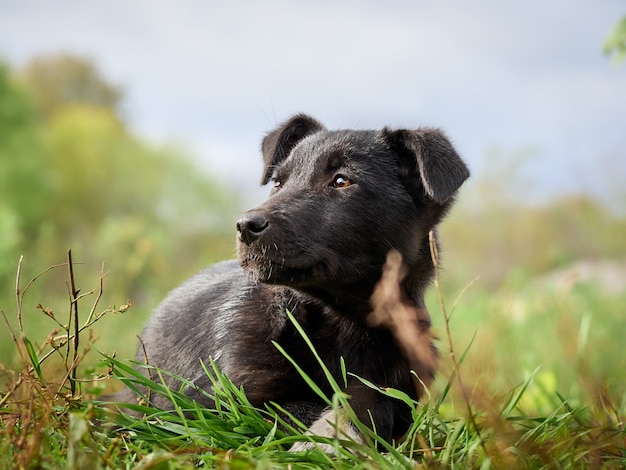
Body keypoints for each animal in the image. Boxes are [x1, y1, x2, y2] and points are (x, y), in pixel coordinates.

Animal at [119, 114, 466, 452]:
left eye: (342, 181)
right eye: (277, 183)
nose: (245, 226)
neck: (344, 322)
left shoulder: (403, 386)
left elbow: (374, 398)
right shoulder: (222, 406)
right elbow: (290, 410)